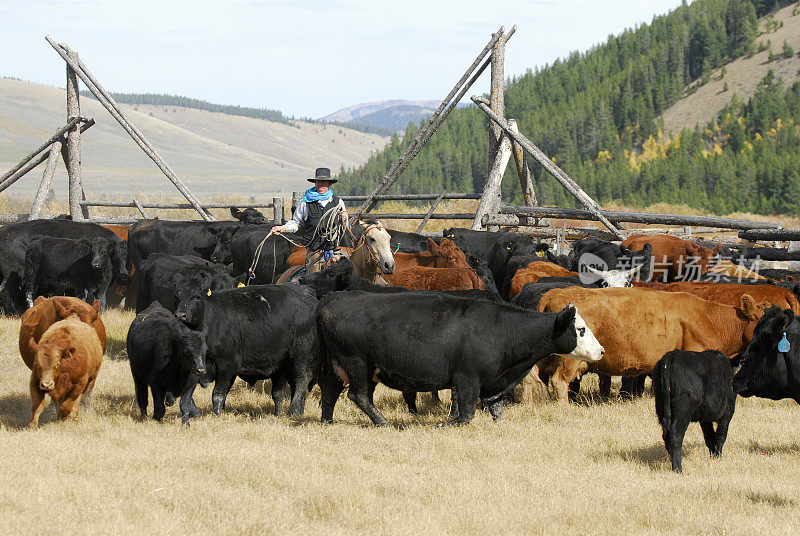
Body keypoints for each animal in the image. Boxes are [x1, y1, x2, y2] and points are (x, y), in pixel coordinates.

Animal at [180, 286, 320, 420]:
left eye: (196, 297)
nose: (180, 314)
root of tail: (310, 299)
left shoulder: (226, 366)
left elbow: (218, 394)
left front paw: (217, 416)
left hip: (299, 357)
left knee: (302, 380)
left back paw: (294, 411)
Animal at [316, 292, 604, 426]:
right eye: (580, 329)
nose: (601, 351)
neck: (501, 329)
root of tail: (334, 298)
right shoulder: (467, 380)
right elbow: (465, 414)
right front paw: (443, 423)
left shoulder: (494, 382)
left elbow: (496, 410)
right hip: (357, 365)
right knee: (358, 395)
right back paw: (383, 421)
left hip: (338, 368)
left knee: (330, 393)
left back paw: (327, 421)